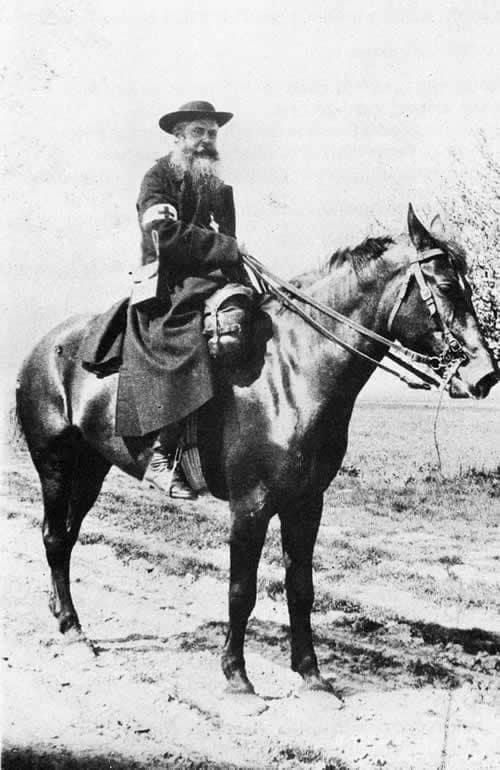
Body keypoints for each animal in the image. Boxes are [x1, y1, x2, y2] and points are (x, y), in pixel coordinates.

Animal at [16, 205, 498, 705]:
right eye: (446, 286)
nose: (485, 375)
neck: (296, 371)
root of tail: (45, 347)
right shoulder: (251, 506)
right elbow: (241, 590)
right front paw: (237, 675)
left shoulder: (306, 503)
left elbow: (300, 588)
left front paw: (312, 675)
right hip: (54, 464)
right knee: (54, 538)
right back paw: (74, 632)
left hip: (91, 467)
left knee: (68, 537)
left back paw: (62, 614)